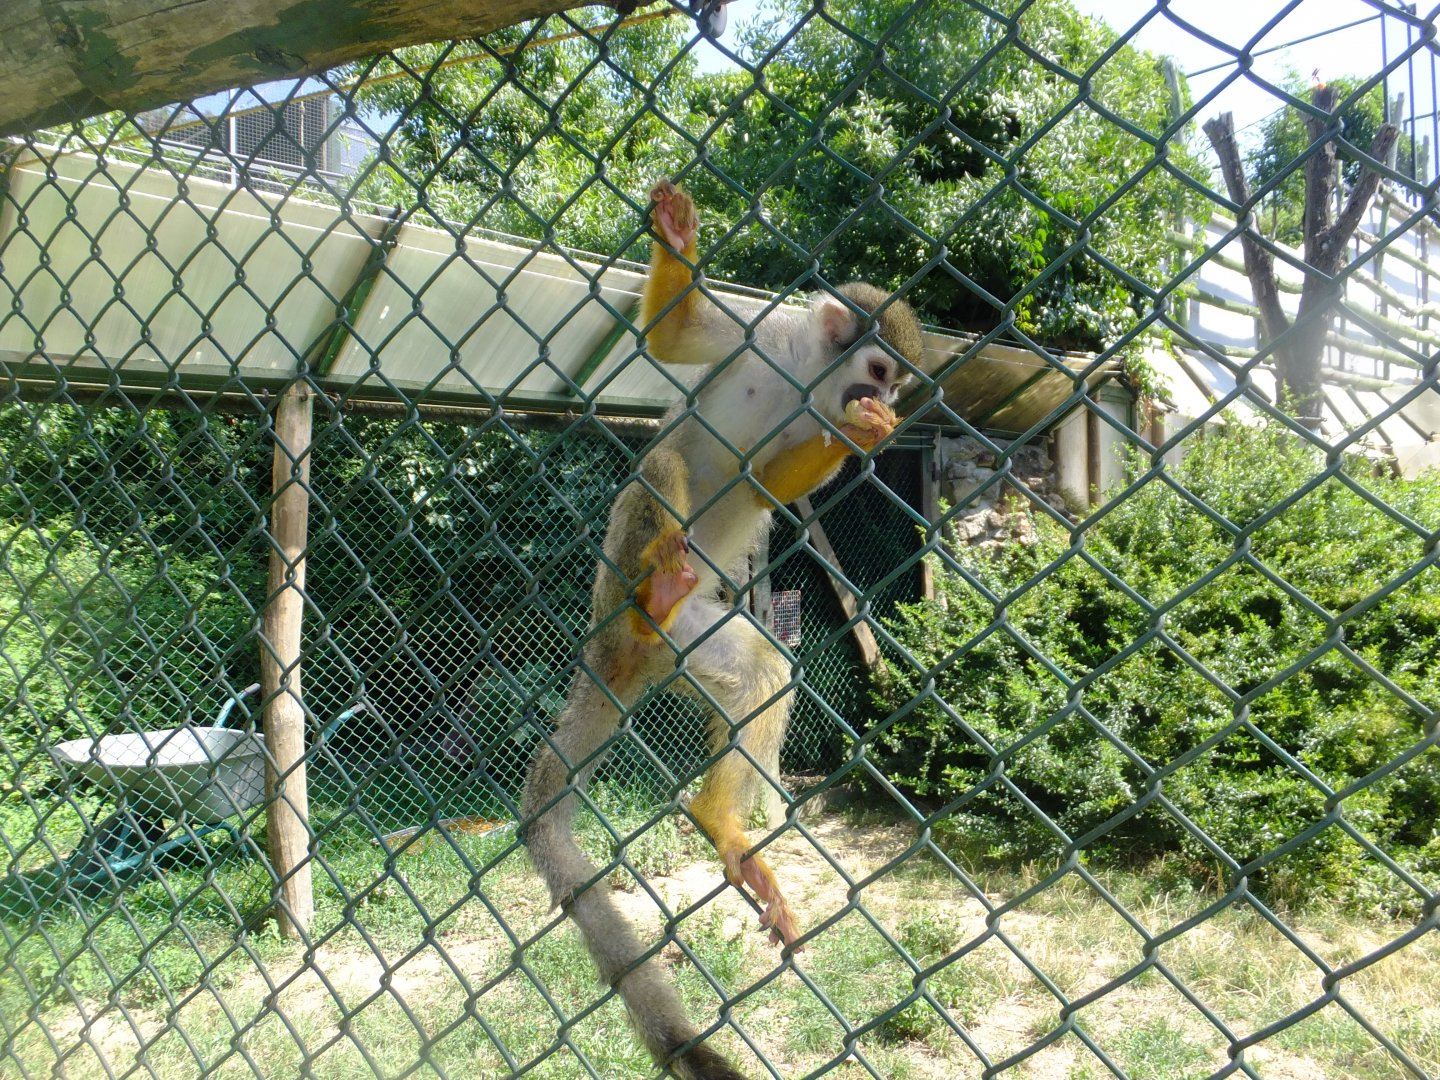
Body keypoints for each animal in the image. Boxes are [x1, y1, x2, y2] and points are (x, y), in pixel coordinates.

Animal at [520, 180, 922, 1080]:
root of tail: (616, 644)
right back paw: (655, 588)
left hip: (691, 638)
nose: (883, 404)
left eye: (896, 388)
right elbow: (675, 340)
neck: (811, 374)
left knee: (762, 667)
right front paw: (677, 238)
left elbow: (775, 478)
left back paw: (720, 825)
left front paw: (859, 435)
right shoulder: (765, 331)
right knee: (660, 464)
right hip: (619, 573)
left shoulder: (809, 416)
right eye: (881, 370)